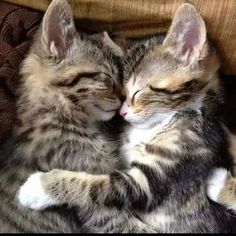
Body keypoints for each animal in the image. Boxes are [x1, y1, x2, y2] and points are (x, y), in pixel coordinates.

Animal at [18, 2, 236, 233]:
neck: (160, 123)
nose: (121, 112)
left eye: (139, 91)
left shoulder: (151, 181)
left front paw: (38, 188)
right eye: (121, 89)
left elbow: (95, 186)